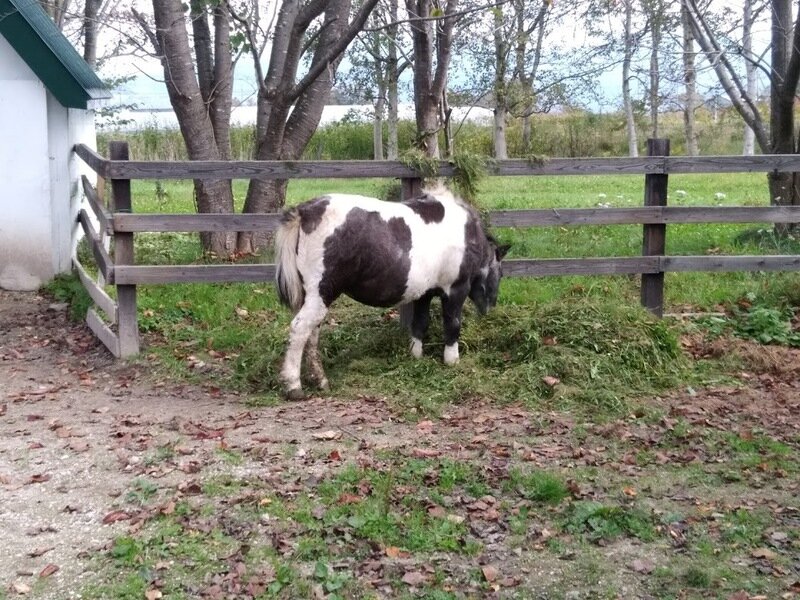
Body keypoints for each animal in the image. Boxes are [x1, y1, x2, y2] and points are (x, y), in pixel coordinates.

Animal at [274, 186, 506, 398]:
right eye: (501, 273)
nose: (490, 309)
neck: (467, 232)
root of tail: (306, 211)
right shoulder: (456, 290)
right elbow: (452, 325)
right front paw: (452, 360)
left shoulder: (424, 295)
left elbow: (419, 324)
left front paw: (415, 356)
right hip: (321, 294)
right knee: (300, 329)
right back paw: (294, 386)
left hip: (314, 297)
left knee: (312, 333)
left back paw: (320, 380)